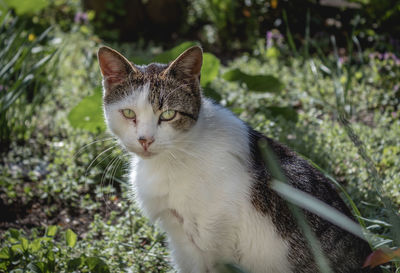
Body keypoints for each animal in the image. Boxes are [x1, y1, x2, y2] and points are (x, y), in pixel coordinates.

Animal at [96, 45, 378, 270]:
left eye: (167, 115)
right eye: (129, 113)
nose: (145, 139)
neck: (176, 155)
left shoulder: (212, 241)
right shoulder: (179, 236)